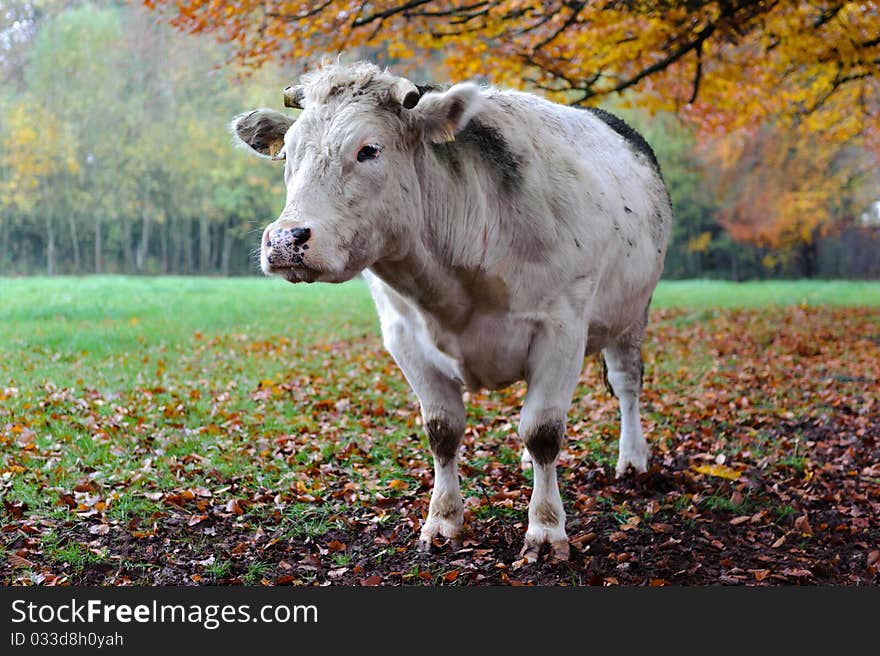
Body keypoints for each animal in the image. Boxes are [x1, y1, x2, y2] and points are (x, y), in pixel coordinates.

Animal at [230, 61, 672, 560]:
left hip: (631, 314)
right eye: (287, 153)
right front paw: (442, 521)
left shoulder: (561, 328)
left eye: (369, 150)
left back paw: (632, 459)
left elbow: (543, 431)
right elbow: (443, 432)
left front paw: (545, 530)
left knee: (626, 384)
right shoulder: (404, 337)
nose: (285, 239)